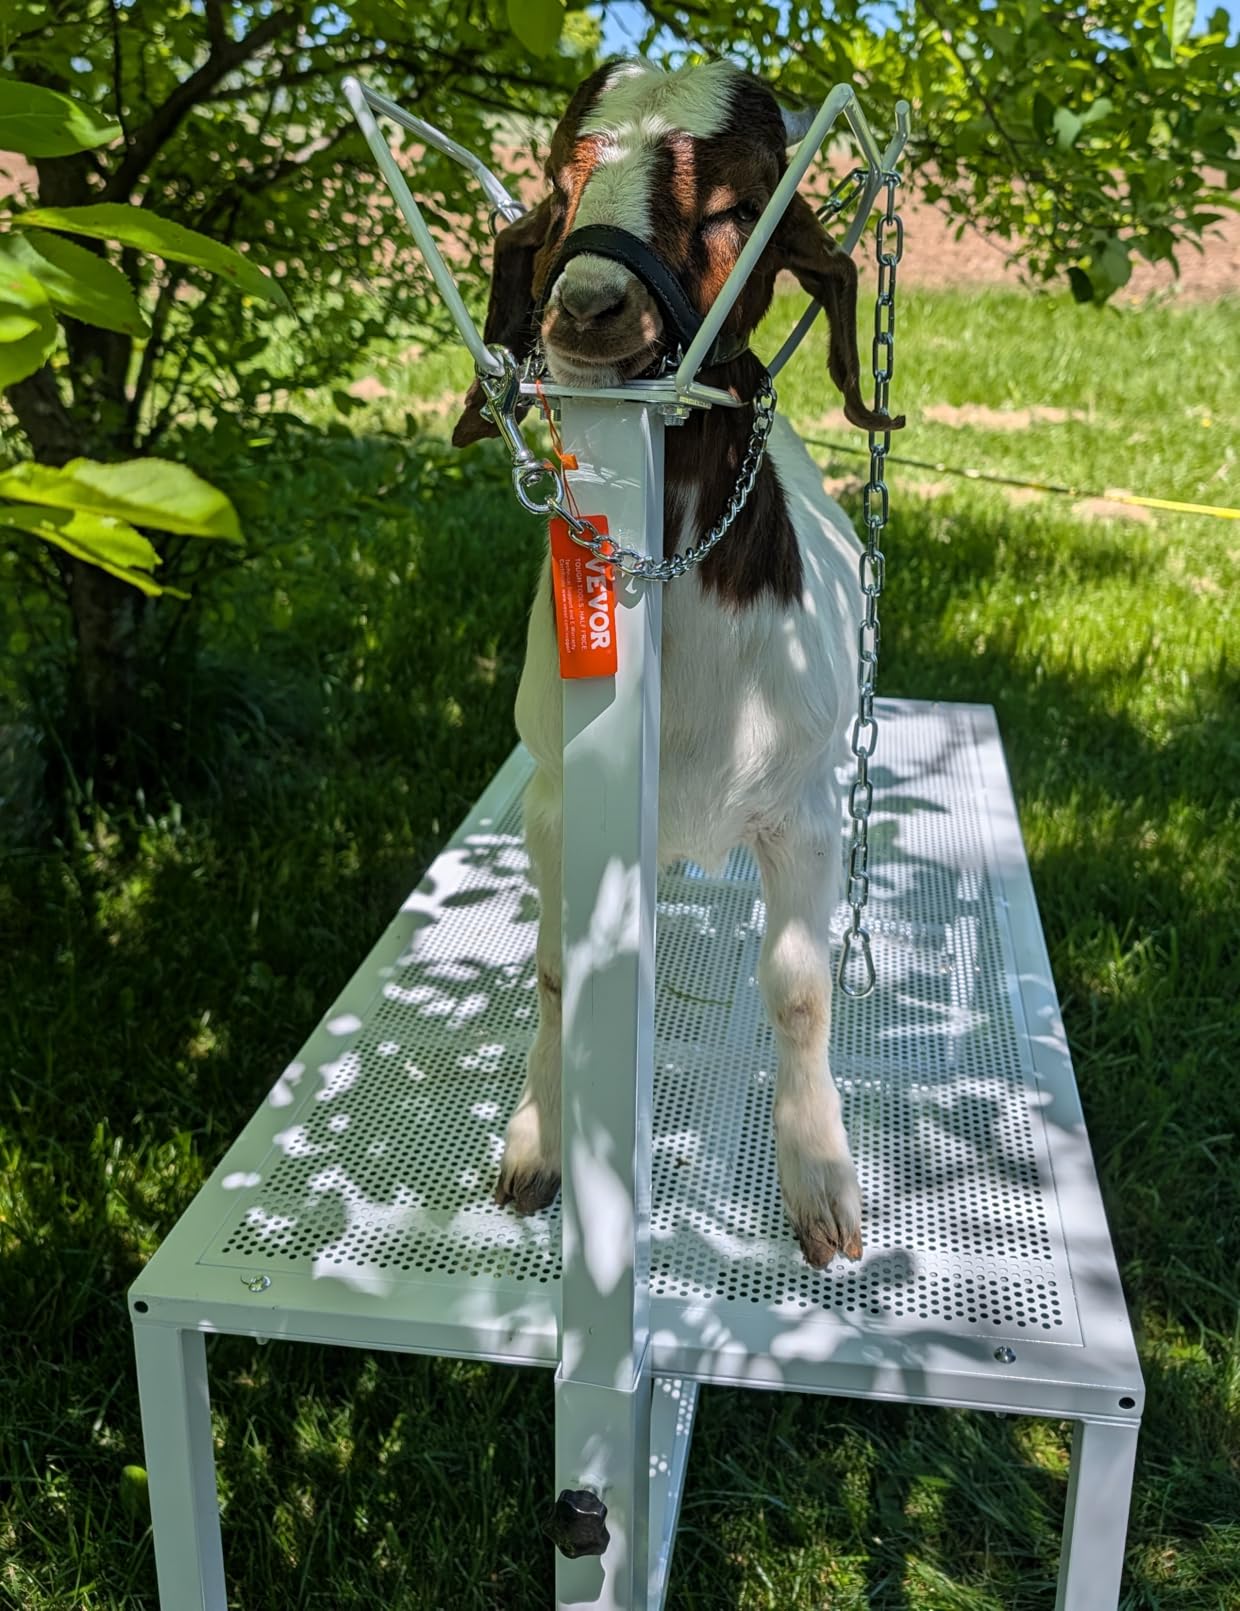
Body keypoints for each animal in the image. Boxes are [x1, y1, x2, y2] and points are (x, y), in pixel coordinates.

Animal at [452, 58, 903, 1268]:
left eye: (731, 206)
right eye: (560, 187)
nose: (587, 306)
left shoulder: (804, 809)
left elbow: (798, 990)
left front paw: (820, 1183)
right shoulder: (560, 802)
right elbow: (559, 966)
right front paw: (537, 1141)